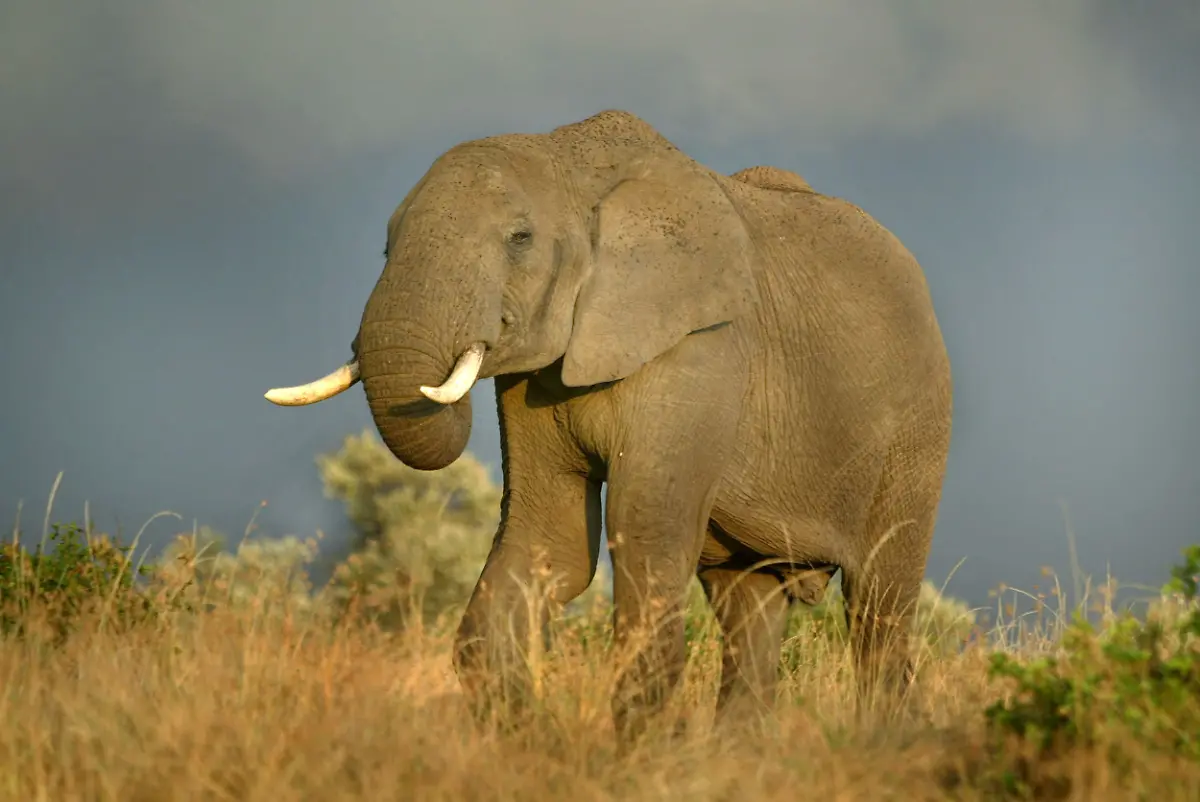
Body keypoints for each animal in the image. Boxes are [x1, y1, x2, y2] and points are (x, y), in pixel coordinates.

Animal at [264, 110, 953, 738]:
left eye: (519, 238)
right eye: (386, 245)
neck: (571, 162)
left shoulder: (700, 349)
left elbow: (643, 532)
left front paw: (638, 761)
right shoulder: (536, 380)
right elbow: (550, 544)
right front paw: (533, 746)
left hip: (916, 433)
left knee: (878, 604)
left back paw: (884, 744)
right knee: (748, 606)